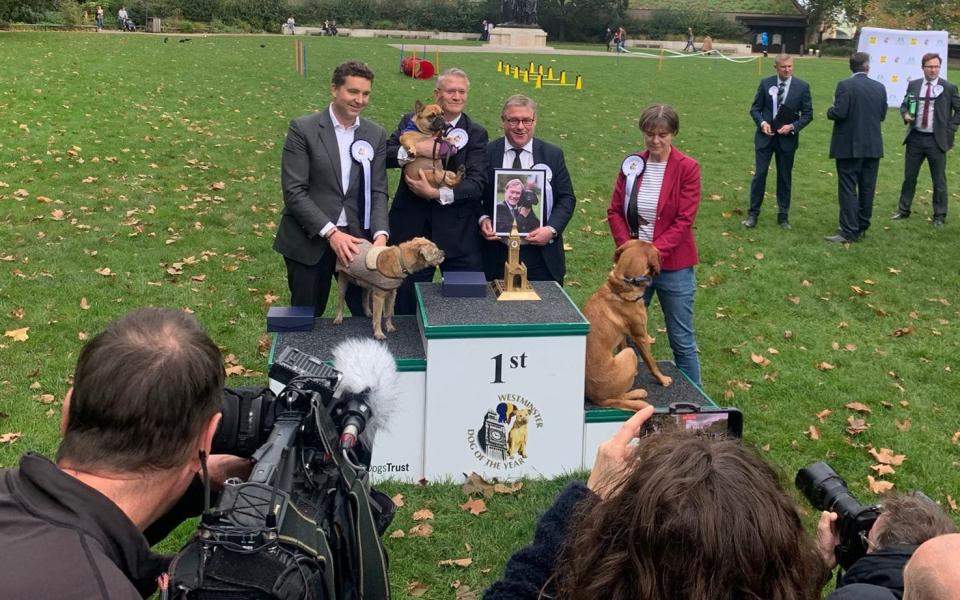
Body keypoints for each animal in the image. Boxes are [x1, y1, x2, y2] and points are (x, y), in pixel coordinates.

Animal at [580, 241, 672, 410]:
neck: (623, 284)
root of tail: (597, 399)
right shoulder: (641, 336)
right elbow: (652, 363)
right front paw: (662, 379)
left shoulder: (623, 336)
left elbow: (622, 345)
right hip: (630, 354)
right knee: (618, 397)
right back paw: (638, 393)